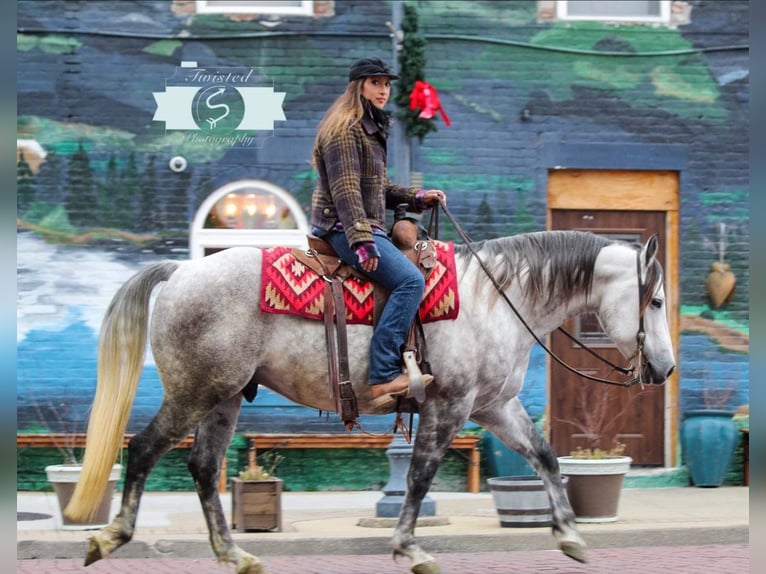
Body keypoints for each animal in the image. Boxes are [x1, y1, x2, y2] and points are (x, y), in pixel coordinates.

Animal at [67, 231, 680, 574]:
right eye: (654, 299)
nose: (666, 368)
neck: (498, 298)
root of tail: (181, 270)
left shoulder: (494, 407)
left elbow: (547, 458)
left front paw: (570, 536)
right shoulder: (449, 406)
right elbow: (420, 477)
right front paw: (409, 548)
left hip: (225, 396)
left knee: (201, 465)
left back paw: (233, 555)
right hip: (195, 392)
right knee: (144, 450)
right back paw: (109, 537)